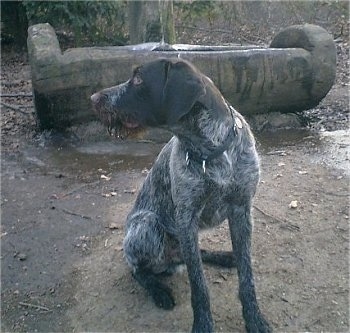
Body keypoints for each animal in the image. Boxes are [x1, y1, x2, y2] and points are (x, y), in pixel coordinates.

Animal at [90, 58, 270, 330]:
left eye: (139, 79)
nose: (93, 98)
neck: (210, 153)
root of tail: (171, 261)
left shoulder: (242, 211)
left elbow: (246, 276)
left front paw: (254, 318)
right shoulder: (186, 218)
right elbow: (199, 285)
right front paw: (203, 324)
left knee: (196, 256)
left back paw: (223, 257)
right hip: (147, 225)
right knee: (138, 269)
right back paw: (158, 290)